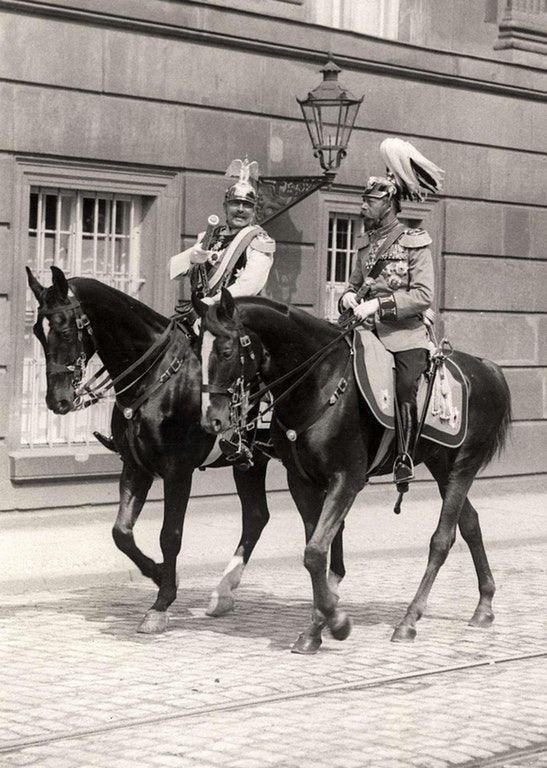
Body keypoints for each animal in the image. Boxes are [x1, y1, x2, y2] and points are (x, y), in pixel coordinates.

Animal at [25, 268, 294, 632]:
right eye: (38, 332)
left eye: (65, 328)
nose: (58, 401)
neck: (157, 376)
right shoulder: (135, 466)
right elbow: (121, 533)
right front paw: (159, 575)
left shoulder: (177, 471)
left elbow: (170, 535)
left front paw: (162, 602)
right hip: (250, 463)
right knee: (256, 516)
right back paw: (223, 594)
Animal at [201, 292, 512, 652]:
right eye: (197, 348)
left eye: (225, 351)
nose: (213, 420)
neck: (320, 383)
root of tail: (486, 368)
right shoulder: (302, 482)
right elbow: (316, 552)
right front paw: (317, 626)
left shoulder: (346, 479)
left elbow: (315, 551)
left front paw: (334, 622)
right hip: (441, 466)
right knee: (470, 523)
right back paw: (484, 605)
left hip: (463, 465)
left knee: (442, 539)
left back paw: (409, 621)